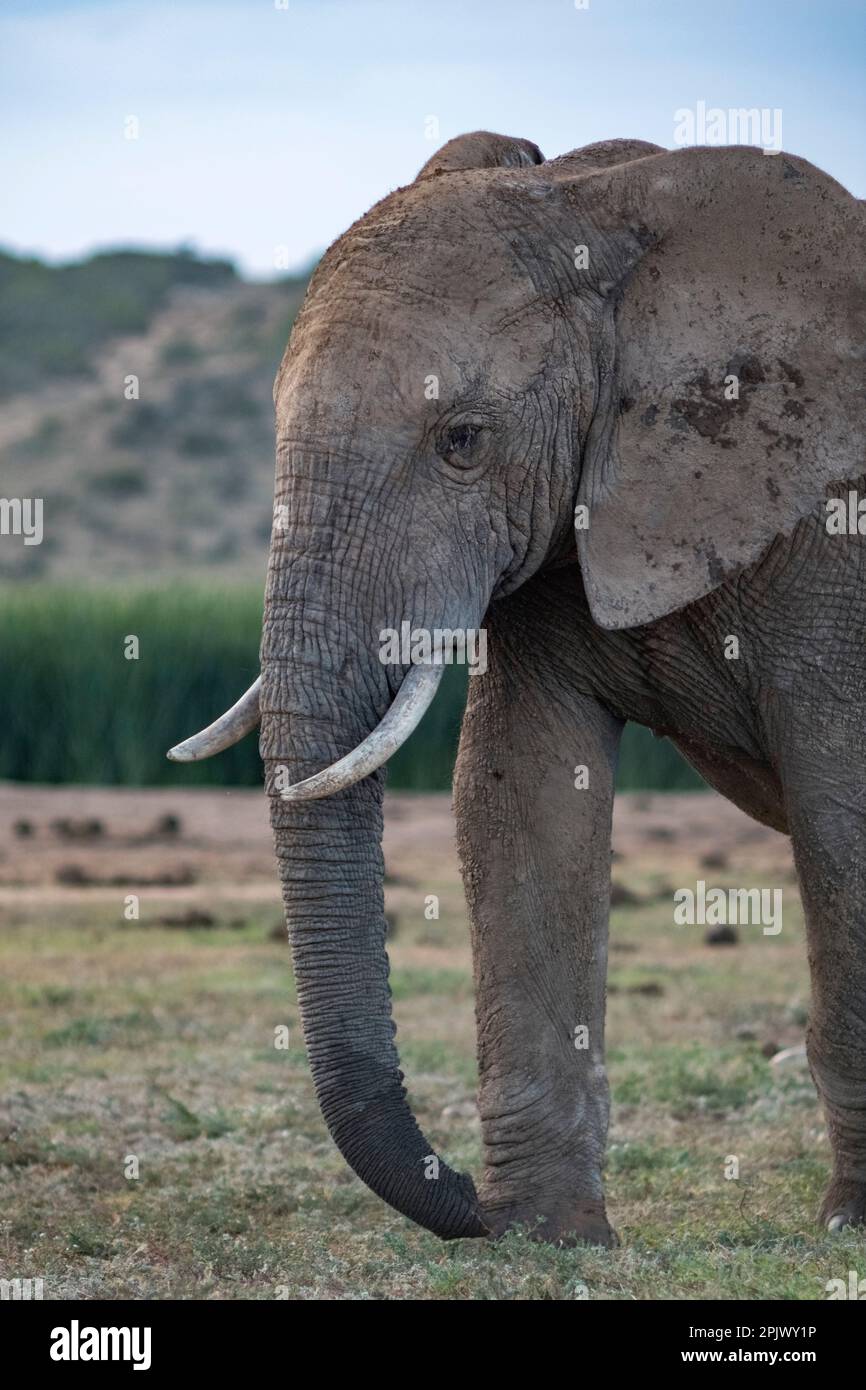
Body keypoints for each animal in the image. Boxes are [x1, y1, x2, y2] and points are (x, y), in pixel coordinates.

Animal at [168, 131, 865, 1247]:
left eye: (462, 440)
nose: (463, 1199)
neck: (604, 206)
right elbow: (520, 799)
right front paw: (547, 1236)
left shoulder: (833, 532)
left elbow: (841, 810)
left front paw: (850, 1226)